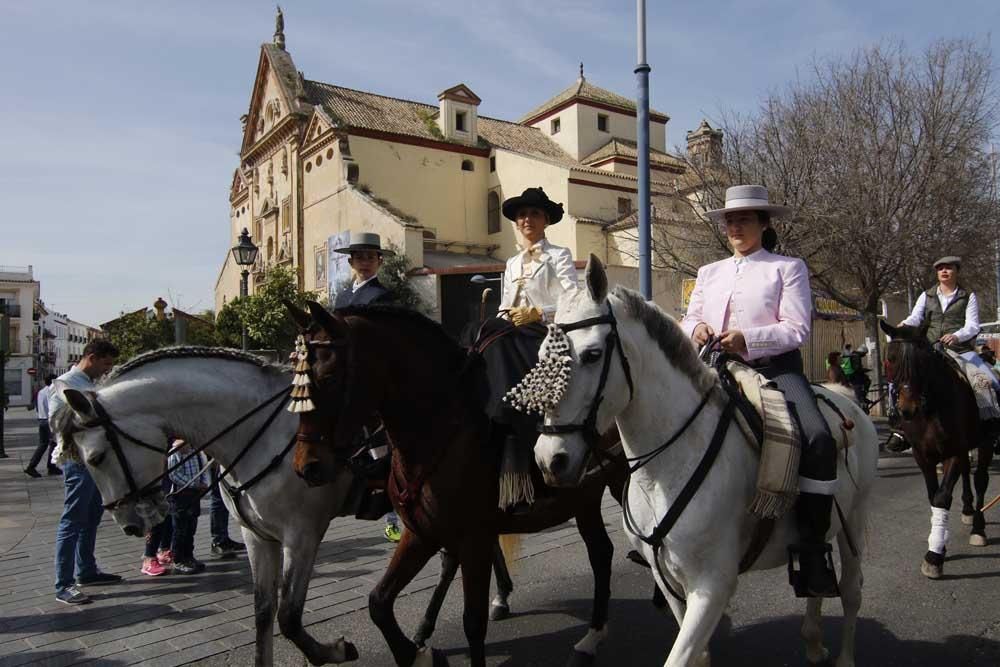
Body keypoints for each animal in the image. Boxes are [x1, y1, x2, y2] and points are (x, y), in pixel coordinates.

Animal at [50, 350, 358, 667]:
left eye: (95, 458)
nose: (129, 524)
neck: (264, 433)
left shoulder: (301, 537)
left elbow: (289, 617)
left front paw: (337, 650)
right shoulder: (256, 536)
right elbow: (264, 610)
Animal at [288, 304, 624, 667]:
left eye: (329, 378)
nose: (307, 466)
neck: (440, 427)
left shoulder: (475, 539)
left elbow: (472, 622)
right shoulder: (421, 533)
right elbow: (378, 602)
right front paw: (417, 653)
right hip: (585, 498)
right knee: (601, 552)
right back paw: (591, 637)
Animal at [532, 260, 876, 667]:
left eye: (592, 354)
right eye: (541, 356)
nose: (550, 459)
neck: (665, 469)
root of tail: (844, 397)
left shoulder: (712, 585)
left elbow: (680, 657)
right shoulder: (670, 583)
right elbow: (696, 657)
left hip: (854, 520)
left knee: (851, 591)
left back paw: (844, 656)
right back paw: (812, 641)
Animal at [884, 320, 992, 580]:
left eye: (922, 360)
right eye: (891, 358)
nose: (907, 409)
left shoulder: (953, 451)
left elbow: (942, 497)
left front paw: (934, 556)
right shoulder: (924, 457)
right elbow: (934, 496)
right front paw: (939, 545)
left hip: (985, 443)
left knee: (981, 480)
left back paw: (978, 528)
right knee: (967, 473)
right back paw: (967, 510)